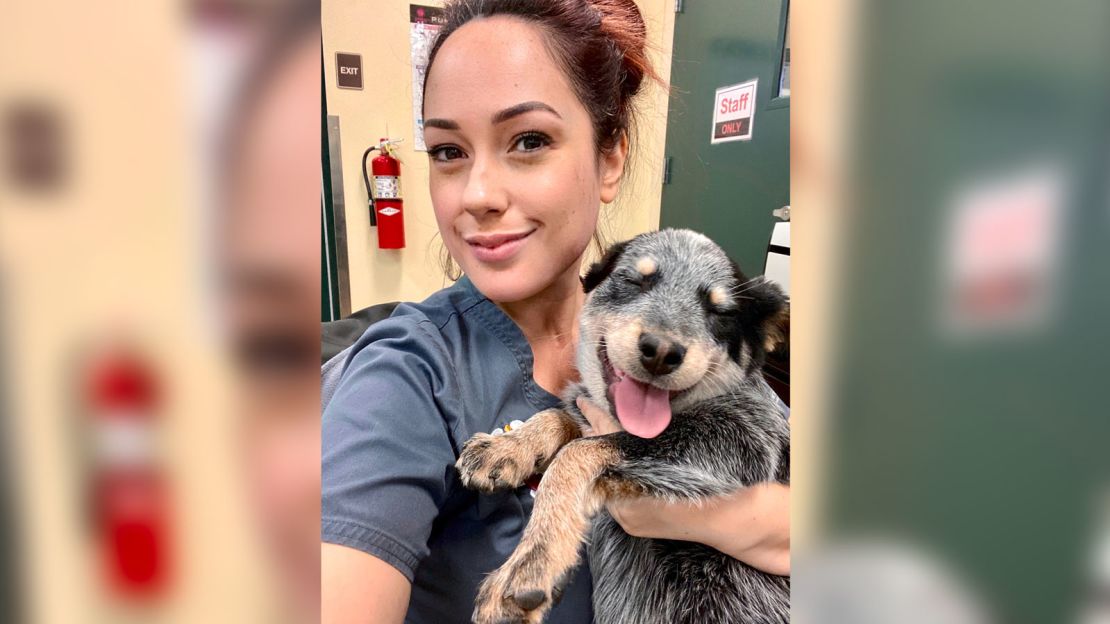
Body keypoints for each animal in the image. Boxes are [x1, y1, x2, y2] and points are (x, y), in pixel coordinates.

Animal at [457, 228, 790, 621]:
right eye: (633, 280)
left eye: (720, 312)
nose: (661, 351)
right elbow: (559, 415)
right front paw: (509, 446)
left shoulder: (743, 437)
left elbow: (575, 453)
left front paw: (532, 562)